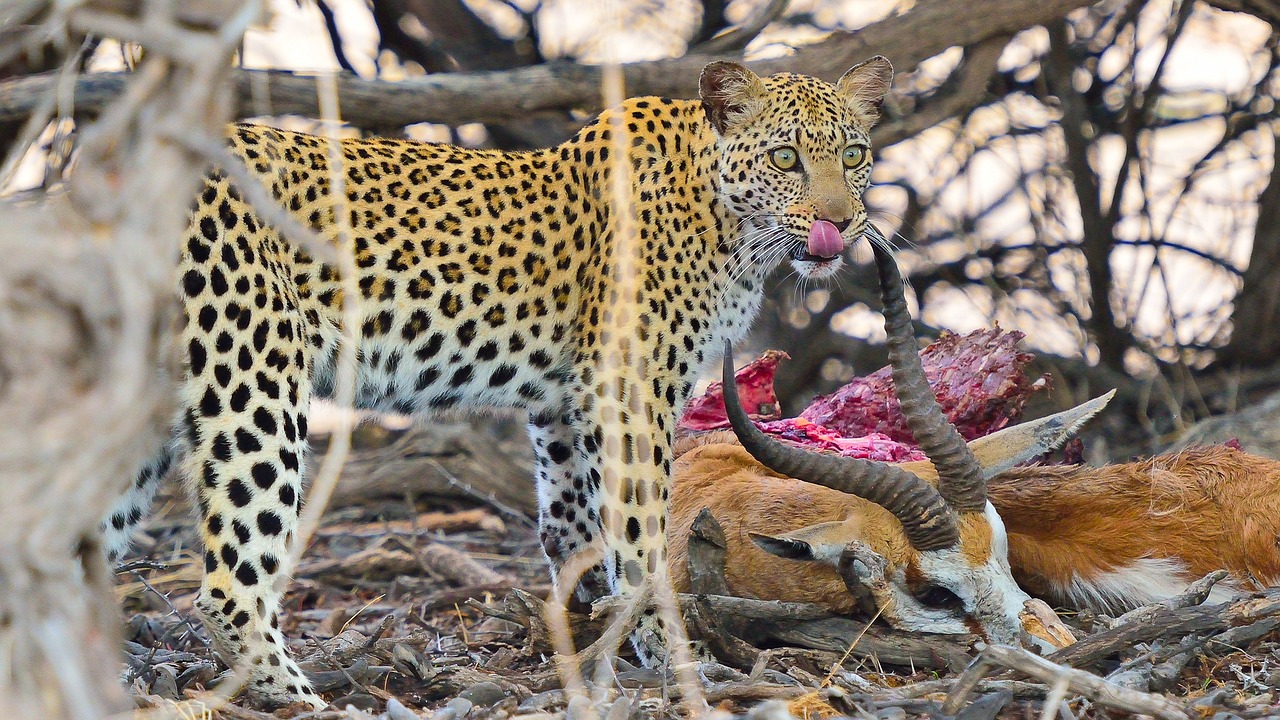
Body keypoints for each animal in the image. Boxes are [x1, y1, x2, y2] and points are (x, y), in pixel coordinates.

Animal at [102, 57, 890, 707]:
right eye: (786, 157)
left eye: (852, 156)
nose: (840, 222)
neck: (730, 226)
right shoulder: (631, 387)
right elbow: (639, 535)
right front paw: (666, 651)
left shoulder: (565, 406)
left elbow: (573, 528)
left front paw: (588, 632)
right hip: (255, 375)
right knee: (230, 585)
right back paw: (305, 699)